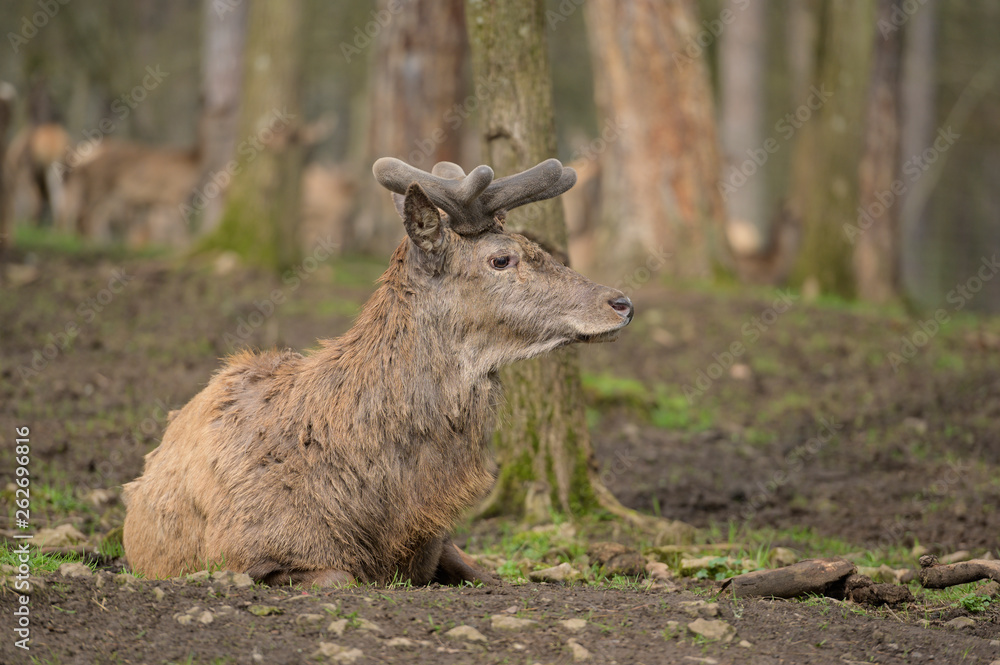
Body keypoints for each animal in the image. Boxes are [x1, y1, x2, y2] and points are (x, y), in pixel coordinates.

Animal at [122, 156, 634, 587]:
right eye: (502, 258)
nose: (622, 302)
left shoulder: (437, 539)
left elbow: (492, 575)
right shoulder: (251, 550)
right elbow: (339, 578)